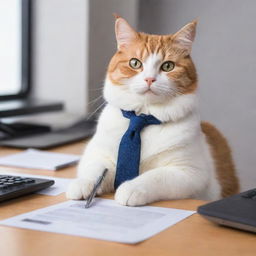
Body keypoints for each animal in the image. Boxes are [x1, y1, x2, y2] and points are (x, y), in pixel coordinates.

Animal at [65, 16, 238, 207]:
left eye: (168, 66)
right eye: (135, 63)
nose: (149, 79)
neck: (141, 118)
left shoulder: (190, 172)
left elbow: (155, 176)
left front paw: (130, 188)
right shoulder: (95, 155)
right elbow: (96, 170)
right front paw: (84, 183)